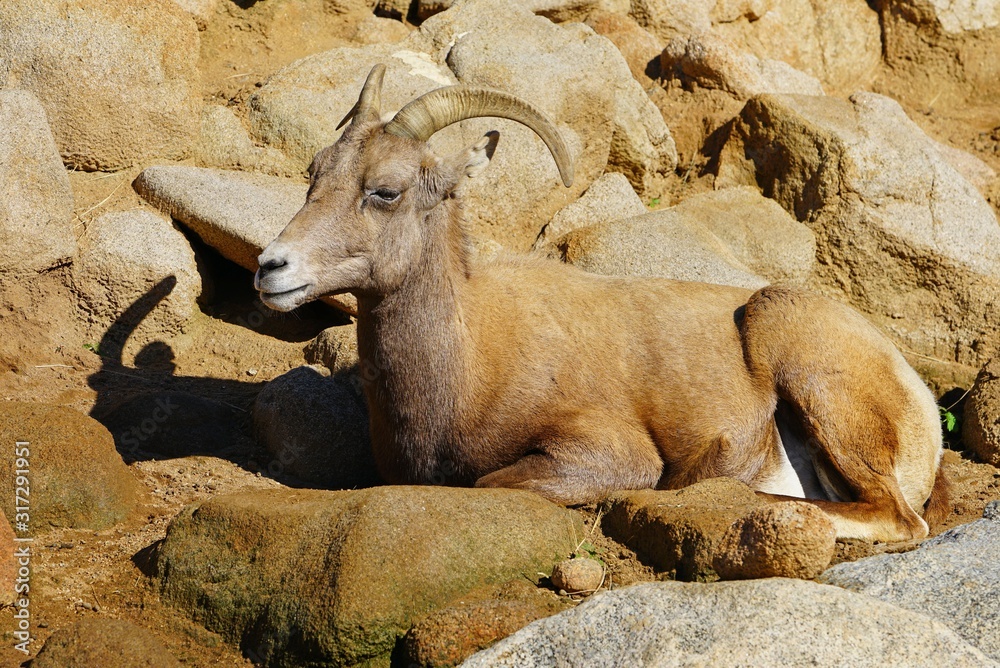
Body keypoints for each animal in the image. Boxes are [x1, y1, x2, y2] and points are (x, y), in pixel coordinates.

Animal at [256, 65, 944, 544]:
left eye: (385, 191)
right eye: (316, 173)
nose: (272, 267)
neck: (469, 363)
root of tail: (917, 399)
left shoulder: (598, 454)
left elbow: (494, 481)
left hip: (810, 371)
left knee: (897, 521)